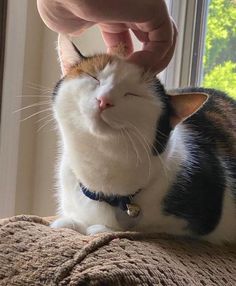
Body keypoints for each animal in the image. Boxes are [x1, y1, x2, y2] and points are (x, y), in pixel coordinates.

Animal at [51, 34, 236, 244]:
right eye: (94, 77)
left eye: (133, 94)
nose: (104, 100)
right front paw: (70, 221)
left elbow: (148, 227)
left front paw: (102, 228)